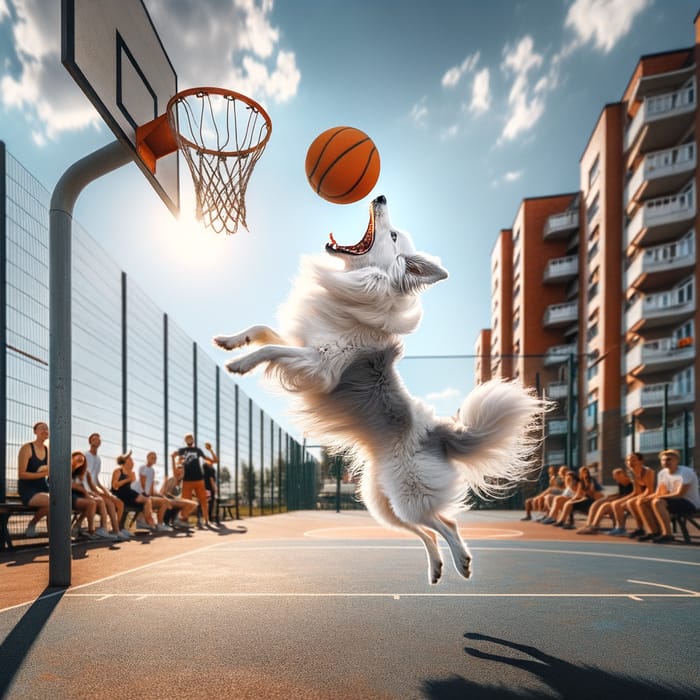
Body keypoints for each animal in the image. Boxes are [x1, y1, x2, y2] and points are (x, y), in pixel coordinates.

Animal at [216, 194, 544, 584]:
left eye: (392, 236)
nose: (380, 196)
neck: (363, 285)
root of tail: (439, 432)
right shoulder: (306, 348)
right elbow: (262, 329)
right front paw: (230, 341)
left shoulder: (319, 365)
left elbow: (270, 350)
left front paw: (240, 364)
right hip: (381, 501)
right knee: (430, 527)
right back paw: (437, 567)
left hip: (408, 496)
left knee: (443, 523)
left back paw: (462, 561)